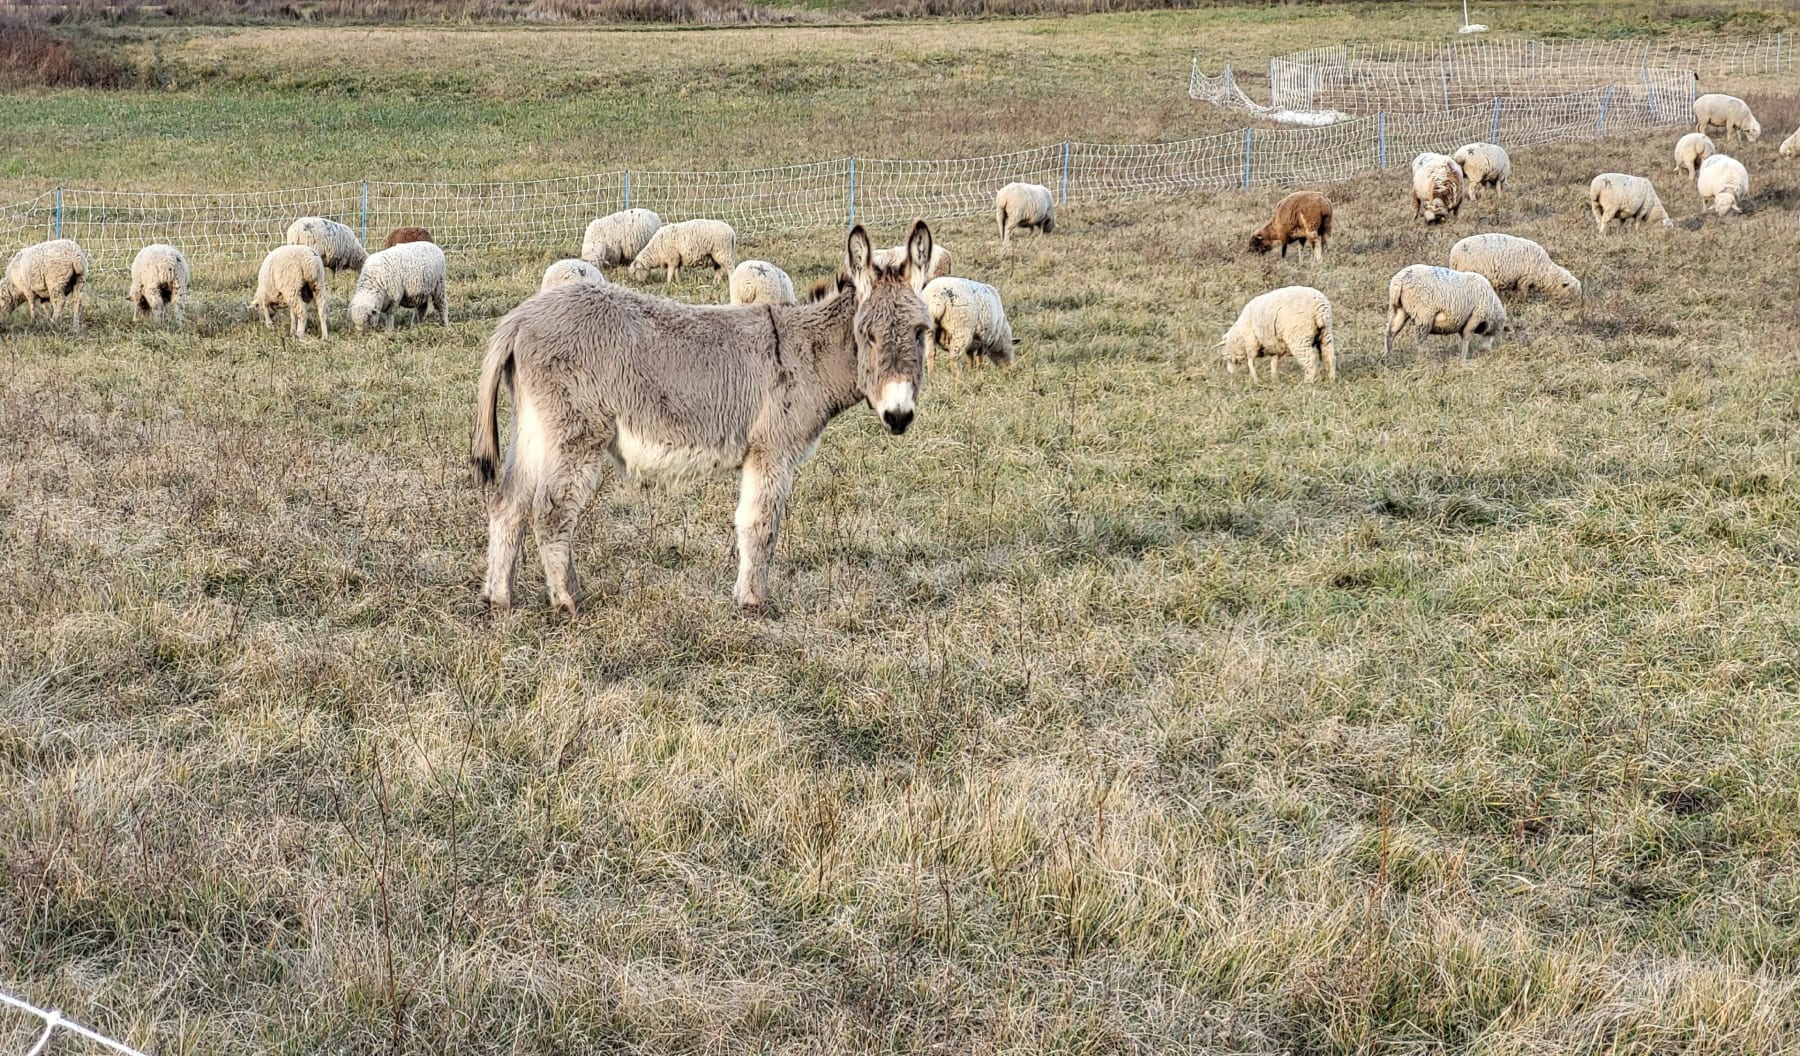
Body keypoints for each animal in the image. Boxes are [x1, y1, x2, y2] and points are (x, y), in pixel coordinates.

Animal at [1440, 235, 1584, 305]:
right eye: (1572, 292)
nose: (1579, 305)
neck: (1544, 271)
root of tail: (1454, 255)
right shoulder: (1524, 278)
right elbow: (1523, 292)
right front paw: (1522, 301)